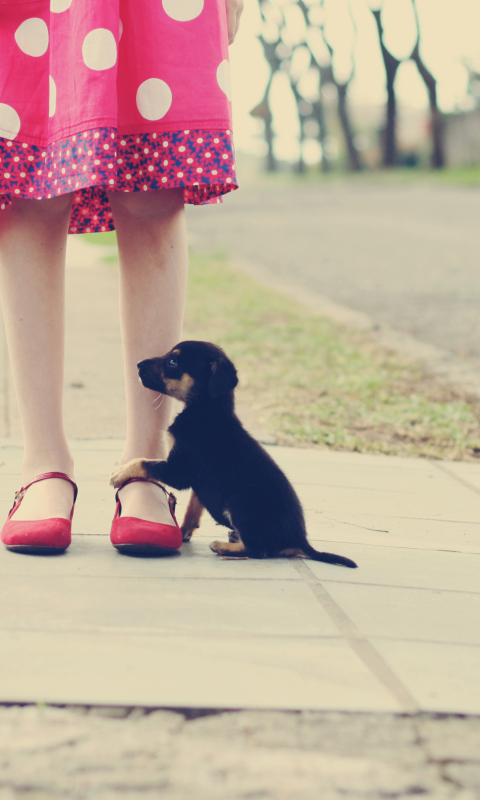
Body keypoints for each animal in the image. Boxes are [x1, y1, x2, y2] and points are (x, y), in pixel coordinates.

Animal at [109, 340, 356, 564]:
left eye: (173, 362)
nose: (138, 364)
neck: (207, 411)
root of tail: (300, 540)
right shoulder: (198, 480)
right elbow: (193, 506)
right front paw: (183, 531)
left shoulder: (179, 470)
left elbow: (143, 462)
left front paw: (120, 473)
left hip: (241, 502)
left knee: (258, 551)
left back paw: (223, 546)